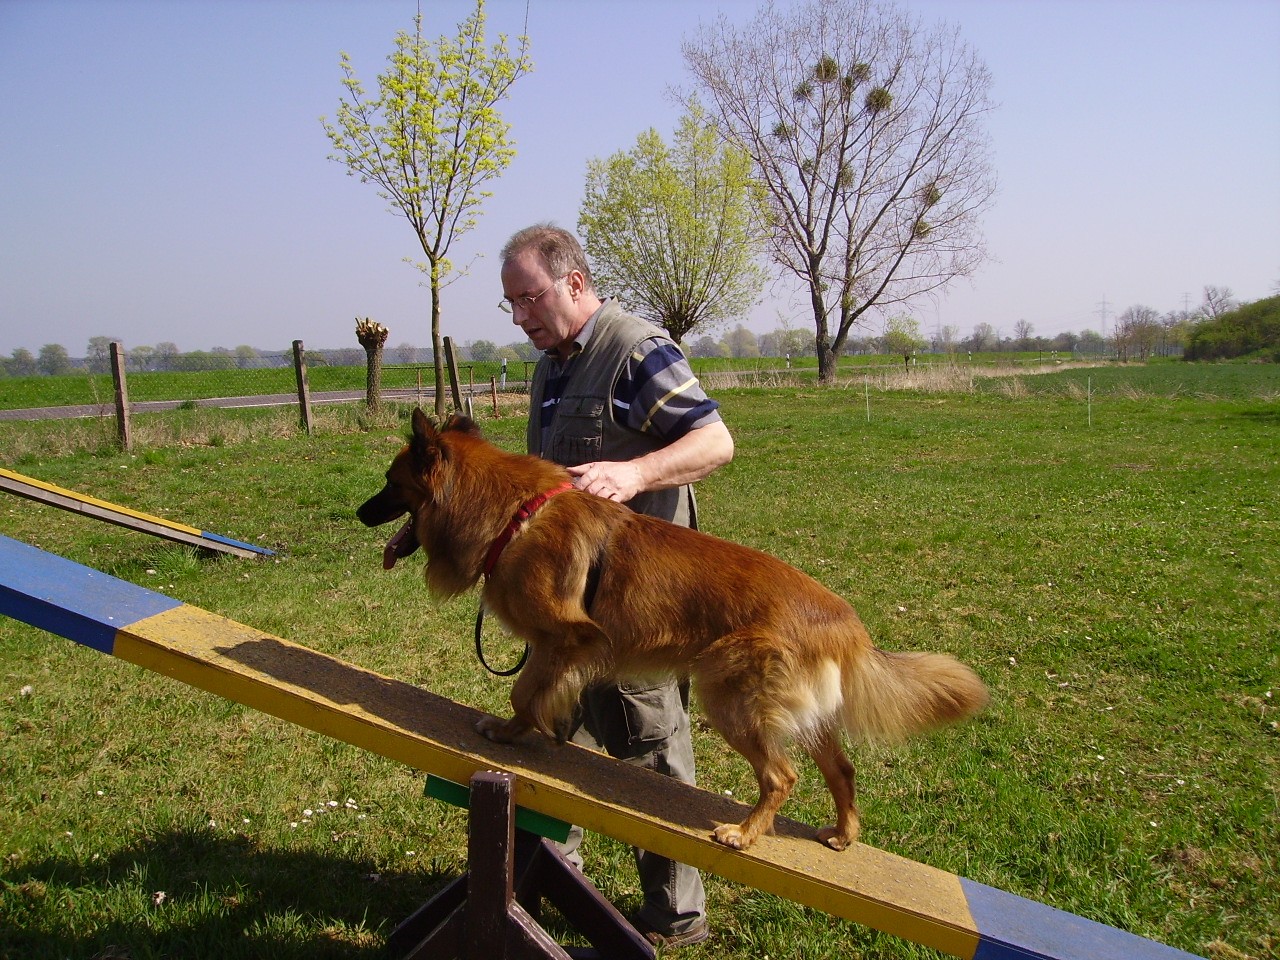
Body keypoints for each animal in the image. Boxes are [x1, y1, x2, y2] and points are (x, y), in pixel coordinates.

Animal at [360, 409, 988, 855]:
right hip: (804, 717)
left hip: (730, 698)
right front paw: (537, 729)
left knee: (781, 776)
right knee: (842, 769)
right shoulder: (556, 647)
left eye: (390, 481)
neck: (515, 513)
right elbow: (537, 690)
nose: (360, 512)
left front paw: (513, 731)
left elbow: (523, 691)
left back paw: (745, 833)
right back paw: (843, 833)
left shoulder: (566, 638)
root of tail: (846, 623)